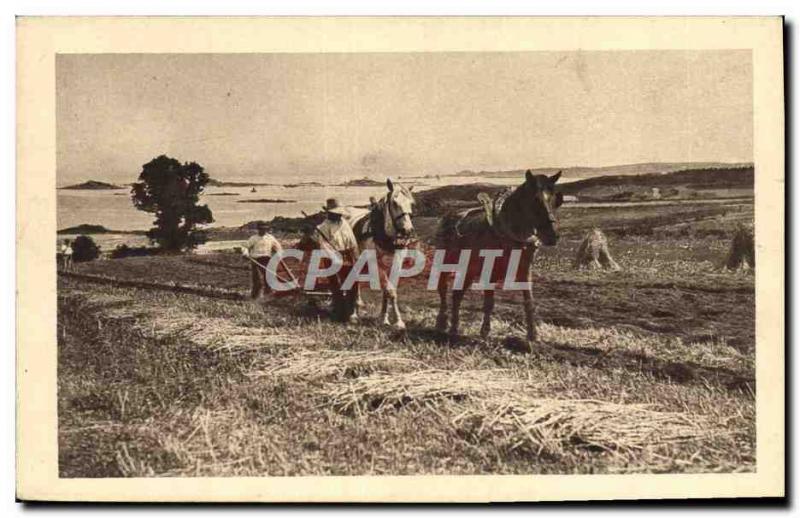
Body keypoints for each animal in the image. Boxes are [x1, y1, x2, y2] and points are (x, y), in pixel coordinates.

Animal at [346, 180, 416, 330]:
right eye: (394, 203)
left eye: (411, 203)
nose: (407, 230)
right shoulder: (377, 265)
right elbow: (390, 290)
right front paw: (398, 321)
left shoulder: (396, 264)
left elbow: (388, 291)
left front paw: (384, 318)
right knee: (353, 280)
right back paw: (354, 314)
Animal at [434, 171, 560, 350]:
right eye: (535, 199)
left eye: (555, 198)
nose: (553, 236)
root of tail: (448, 217)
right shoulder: (489, 271)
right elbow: (489, 303)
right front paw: (485, 332)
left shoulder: (524, 270)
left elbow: (529, 301)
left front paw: (532, 335)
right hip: (445, 264)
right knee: (443, 290)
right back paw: (442, 323)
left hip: (468, 269)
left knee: (457, 295)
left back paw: (454, 328)